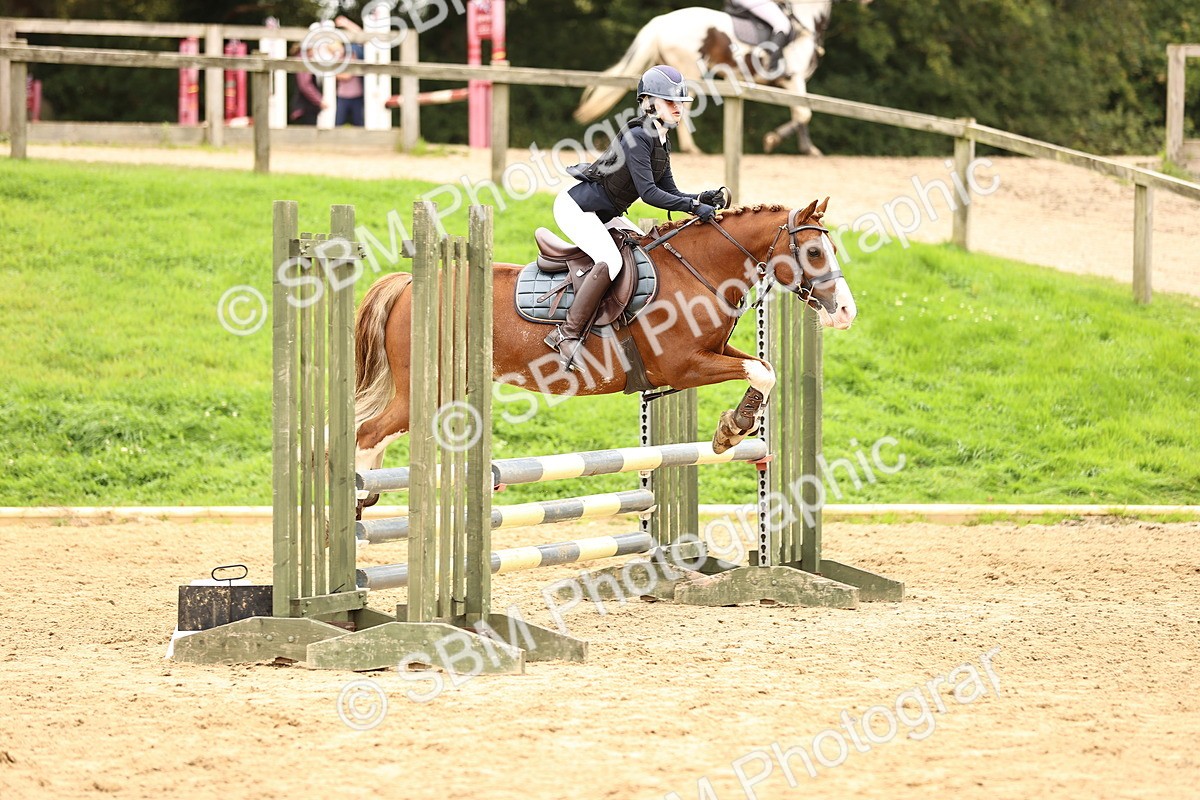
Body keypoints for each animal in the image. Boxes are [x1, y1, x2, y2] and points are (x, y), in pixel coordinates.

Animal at [351, 199, 856, 511]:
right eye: (814, 251)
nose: (846, 312)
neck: (698, 270)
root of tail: (407, 284)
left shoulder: (712, 352)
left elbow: (763, 367)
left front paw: (733, 427)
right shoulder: (685, 366)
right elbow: (760, 370)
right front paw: (732, 430)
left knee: (376, 433)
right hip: (428, 387)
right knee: (368, 431)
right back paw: (358, 499)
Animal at [573, 1, 850, 156]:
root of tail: (660, 23)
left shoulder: (794, 84)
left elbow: (801, 114)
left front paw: (807, 149)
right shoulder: (794, 79)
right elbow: (804, 114)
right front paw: (773, 141)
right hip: (689, 75)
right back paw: (691, 148)